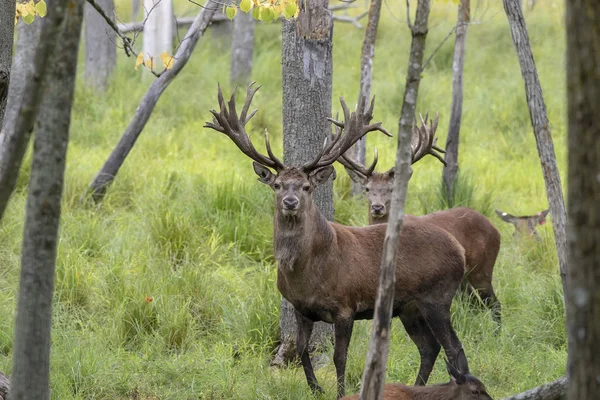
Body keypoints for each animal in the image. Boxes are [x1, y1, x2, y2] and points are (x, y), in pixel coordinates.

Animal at [204, 83, 472, 396]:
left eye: (306, 186)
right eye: (277, 185)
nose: (290, 202)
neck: (307, 273)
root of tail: (459, 248)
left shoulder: (346, 306)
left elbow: (339, 356)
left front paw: (340, 392)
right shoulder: (300, 307)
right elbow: (303, 349)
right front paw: (315, 389)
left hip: (438, 296)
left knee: (453, 347)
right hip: (409, 307)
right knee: (429, 348)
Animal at [338, 113, 502, 324]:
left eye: (391, 189)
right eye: (367, 188)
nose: (377, 207)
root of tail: (495, 229)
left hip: (482, 268)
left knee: (495, 305)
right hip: (465, 280)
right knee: (476, 305)